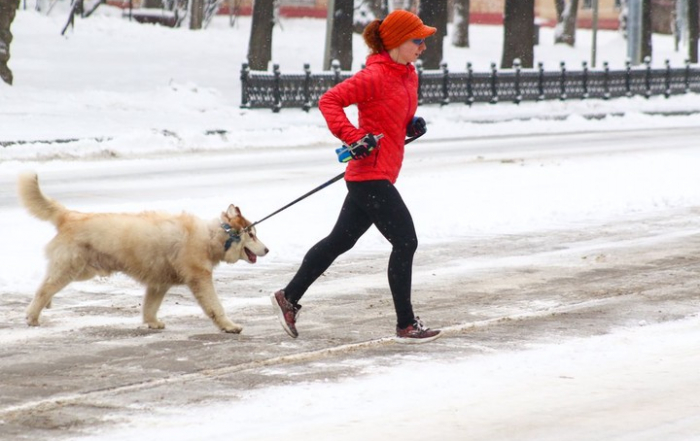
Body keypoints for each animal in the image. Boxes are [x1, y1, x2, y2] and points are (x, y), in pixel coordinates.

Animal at [17, 172, 268, 334]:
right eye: (252, 234)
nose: (267, 249)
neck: (213, 237)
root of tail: (71, 215)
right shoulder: (200, 279)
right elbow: (215, 306)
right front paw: (229, 326)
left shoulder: (159, 283)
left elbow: (150, 306)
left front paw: (152, 322)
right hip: (72, 268)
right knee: (44, 288)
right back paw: (32, 316)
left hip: (81, 271)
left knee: (46, 284)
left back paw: (45, 305)